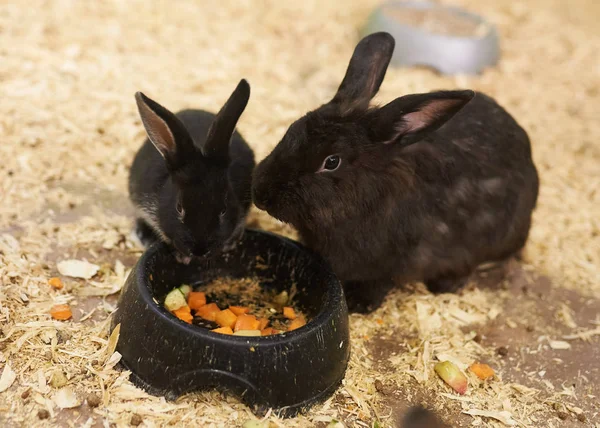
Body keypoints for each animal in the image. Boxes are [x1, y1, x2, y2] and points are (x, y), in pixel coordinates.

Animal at [253, 33, 540, 312]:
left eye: (332, 161)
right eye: (292, 129)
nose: (260, 195)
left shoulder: (389, 266)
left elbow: (378, 285)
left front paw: (358, 305)